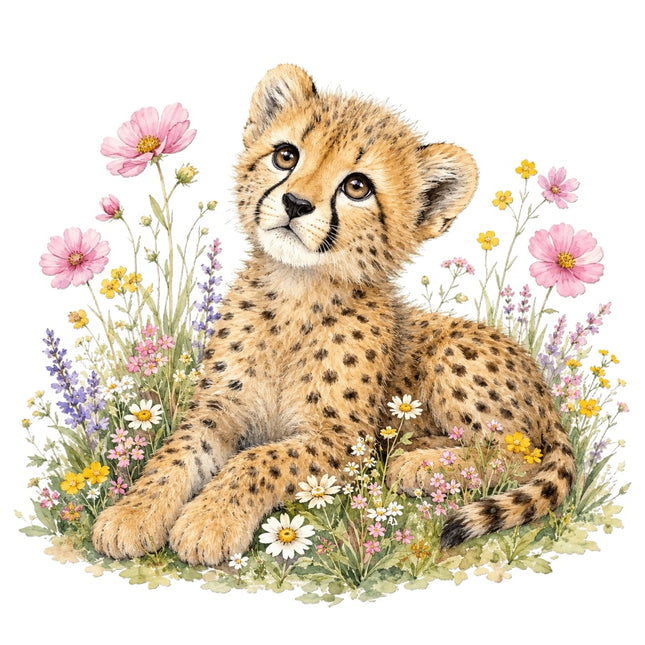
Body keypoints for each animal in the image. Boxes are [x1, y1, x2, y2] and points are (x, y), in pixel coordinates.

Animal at [92, 64, 576, 567]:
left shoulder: (347, 440)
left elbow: (258, 460)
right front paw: (132, 513)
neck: (295, 291)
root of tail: (545, 391)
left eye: (357, 186)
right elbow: (175, 453)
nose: (295, 204)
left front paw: (210, 519)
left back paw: (418, 462)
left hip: (456, 354)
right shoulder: (218, 409)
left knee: (519, 452)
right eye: (286, 155)